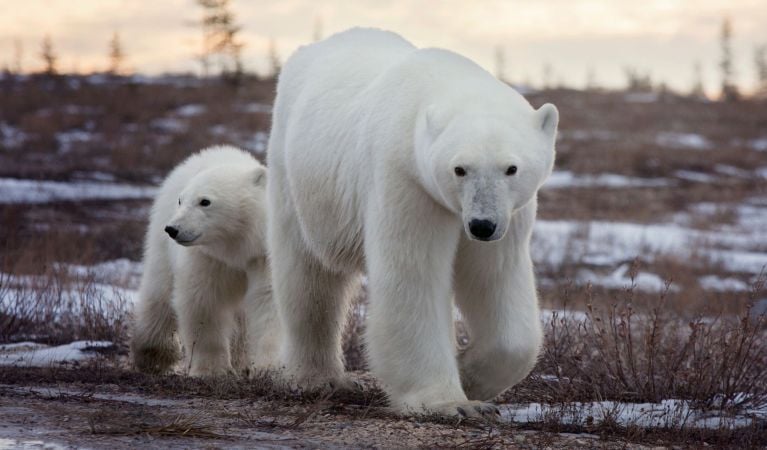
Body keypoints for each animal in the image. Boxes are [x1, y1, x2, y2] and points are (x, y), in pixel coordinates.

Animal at [270, 27, 560, 414]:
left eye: (511, 168)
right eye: (459, 168)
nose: (482, 225)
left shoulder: (510, 214)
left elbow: (494, 276)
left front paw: (471, 375)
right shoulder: (407, 180)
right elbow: (414, 274)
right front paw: (451, 402)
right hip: (298, 180)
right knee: (308, 277)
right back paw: (318, 378)